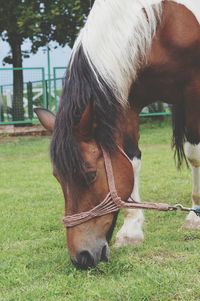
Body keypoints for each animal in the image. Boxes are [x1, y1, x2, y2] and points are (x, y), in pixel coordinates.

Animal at [35, 0, 200, 268]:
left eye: (90, 175)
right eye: (57, 178)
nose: (81, 257)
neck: (162, 24)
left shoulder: (194, 90)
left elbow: (194, 154)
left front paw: (195, 216)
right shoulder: (126, 99)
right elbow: (130, 158)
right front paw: (132, 230)